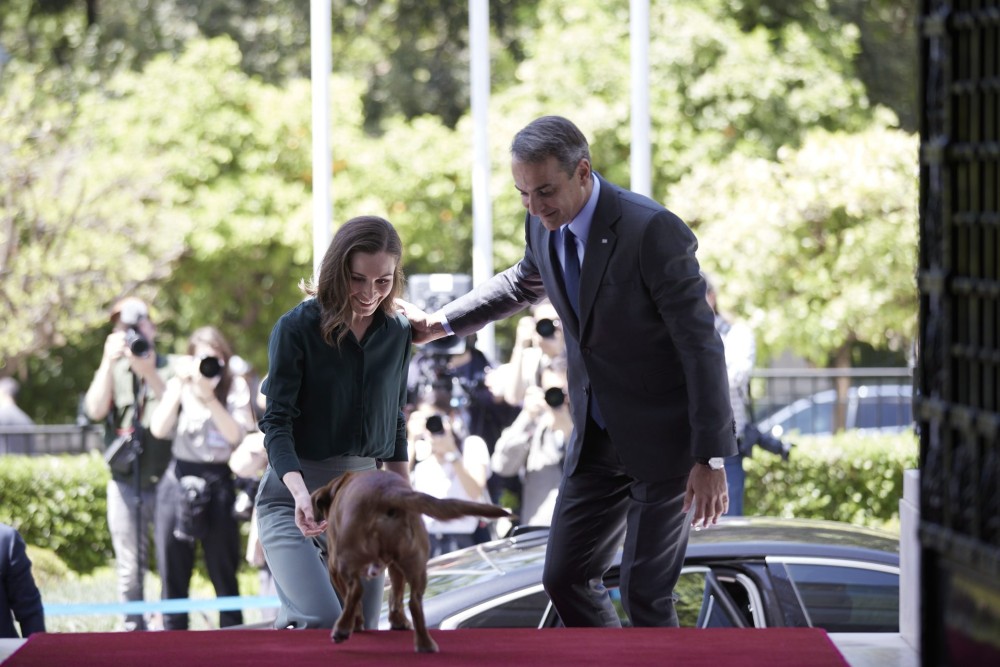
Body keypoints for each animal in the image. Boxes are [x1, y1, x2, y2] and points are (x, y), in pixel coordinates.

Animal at [310, 470, 512, 652]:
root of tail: (386, 492)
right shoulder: (394, 567)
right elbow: (396, 596)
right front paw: (398, 621)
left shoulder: (334, 570)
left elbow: (354, 602)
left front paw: (357, 623)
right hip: (415, 564)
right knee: (414, 602)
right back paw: (425, 644)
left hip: (345, 561)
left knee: (356, 591)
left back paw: (342, 629)